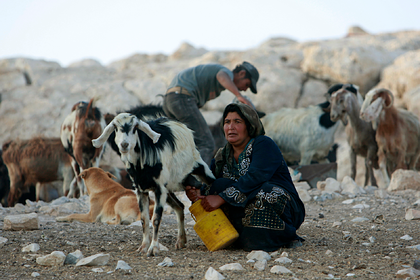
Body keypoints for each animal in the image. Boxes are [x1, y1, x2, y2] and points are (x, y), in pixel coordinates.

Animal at [93, 113, 215, 256]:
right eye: (115, 128)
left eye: (135, 127)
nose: (124, 144)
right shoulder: (141, 190)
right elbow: (144, 219)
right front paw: (143, 247)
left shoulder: (159, 188)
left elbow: (156, 219)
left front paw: (153, 249)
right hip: (169, 187)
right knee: (179, 206)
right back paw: (181, 240)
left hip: (200, 168)